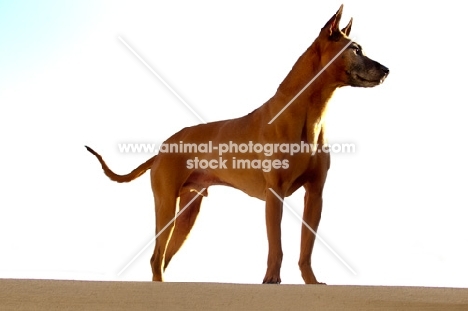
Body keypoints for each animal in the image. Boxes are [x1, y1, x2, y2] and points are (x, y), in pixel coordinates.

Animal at [87, 4, 388, 286]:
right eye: (356, 49)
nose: (386, 69)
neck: (308, 113)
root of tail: (162, 149)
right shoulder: (275, 193)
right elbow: (276, 245)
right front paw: (271, 279)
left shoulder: (315, 194)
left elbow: (307, 248)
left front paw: (311, 281)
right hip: (166, 204)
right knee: (156, 256)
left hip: (188, 212)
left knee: (162, 259)